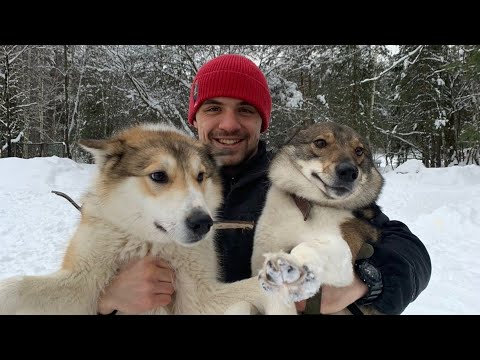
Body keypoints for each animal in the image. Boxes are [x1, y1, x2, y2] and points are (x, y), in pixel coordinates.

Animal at [0, 124, 294, 316]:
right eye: (159, 176)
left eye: (200, 176)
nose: (203, 222)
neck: (149, 244)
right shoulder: (83, 285)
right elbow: (16, 286)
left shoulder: (198, 299)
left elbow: (261, 291)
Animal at [253, 122, 384, 314]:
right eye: (320, 143)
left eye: (359, 151)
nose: (349, 171)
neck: (311, 203)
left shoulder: (348, 248)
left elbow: (306, 248)